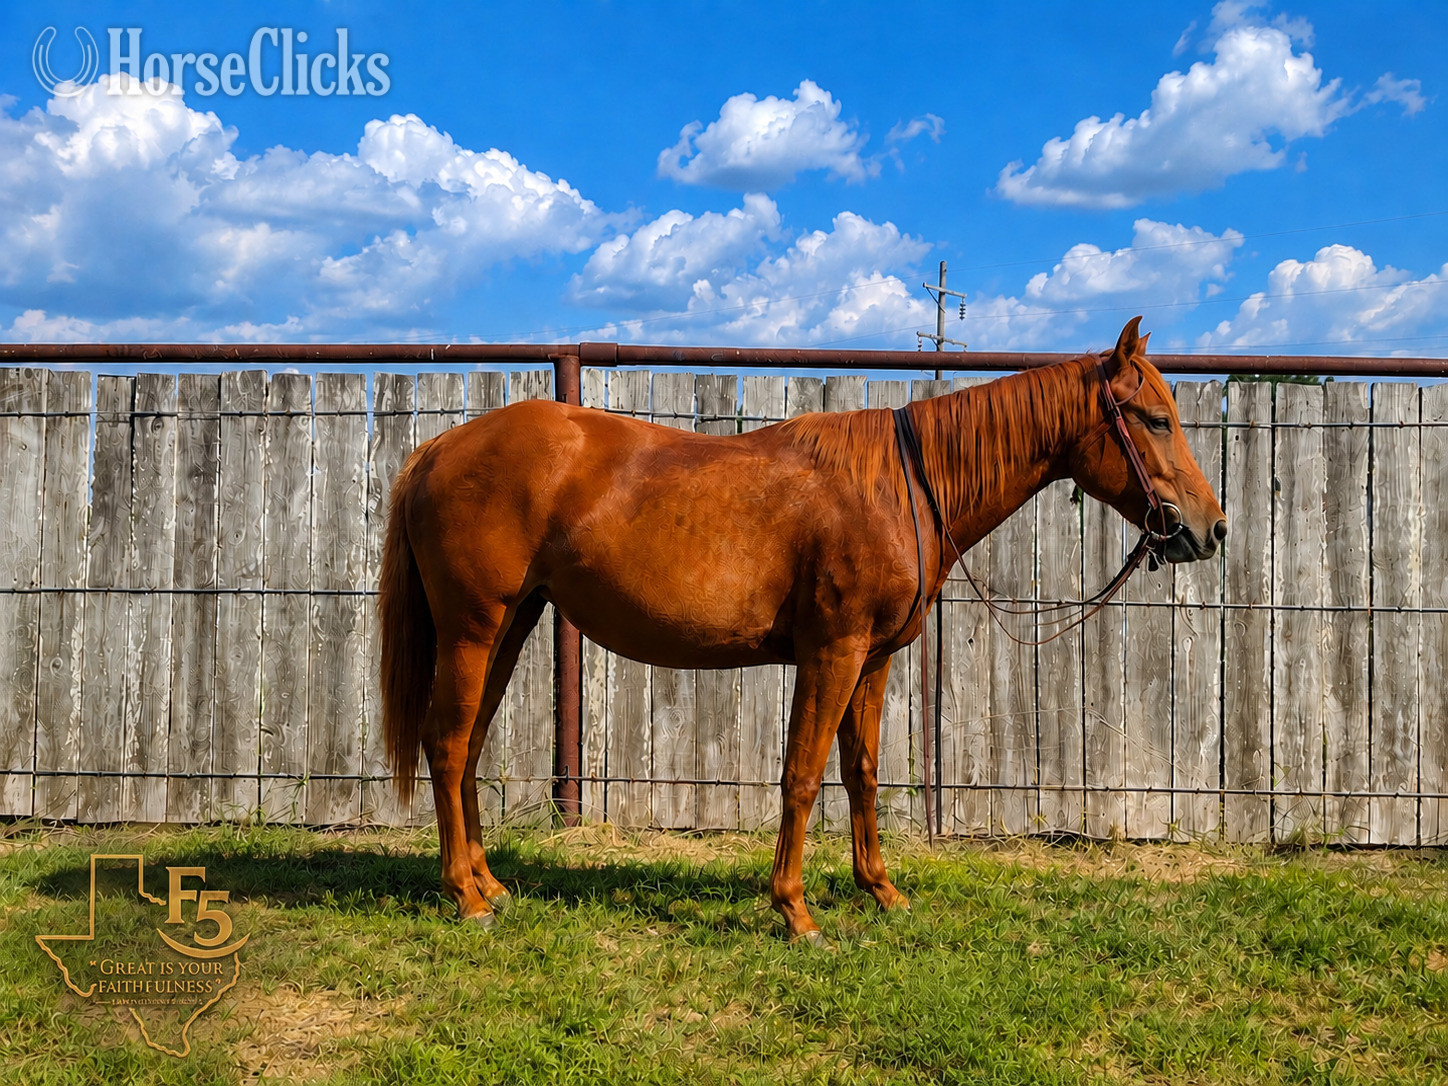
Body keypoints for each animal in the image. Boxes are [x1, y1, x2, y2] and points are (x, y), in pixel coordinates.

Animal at [379, 316, 1227, 944]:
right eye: (1156, 419)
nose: (1211, 529)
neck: (898, 485)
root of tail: (437, 450)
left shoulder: (874, 660)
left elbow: (862, 773)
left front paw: (881, 890)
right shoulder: (832, 653)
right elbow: (803, 774)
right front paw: (794, 910)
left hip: (511, 626)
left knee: (468, 746)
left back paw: (490, 882)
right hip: (473, 628)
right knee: (447, 744)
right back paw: (466, 897)